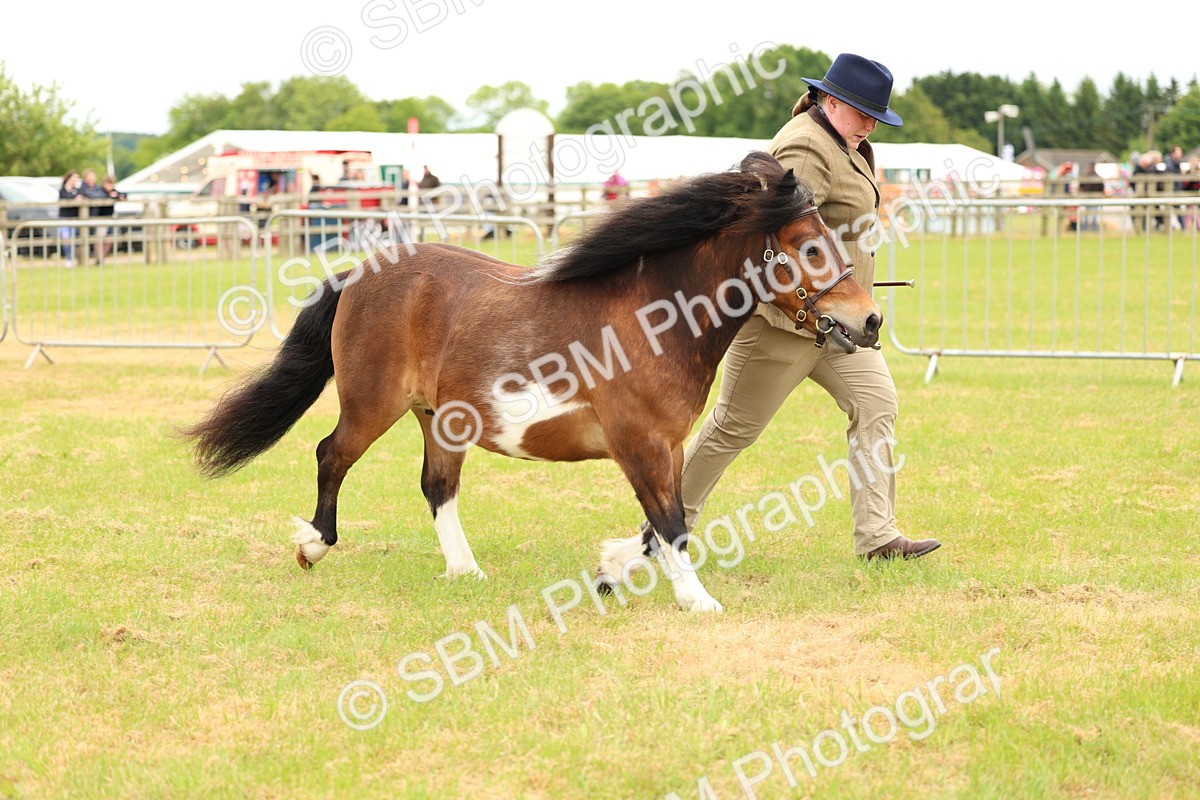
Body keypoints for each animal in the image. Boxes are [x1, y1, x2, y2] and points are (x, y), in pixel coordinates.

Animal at [182, 151, 882, 612]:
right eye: (810, 247)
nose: (869, 321)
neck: (654, 316)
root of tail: (359, 273)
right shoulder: (640, 443)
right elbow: (671, 520)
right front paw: (696, 600)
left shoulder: (667, 446)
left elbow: (667, 517)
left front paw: (611, 570)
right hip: (371, 404)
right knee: (332, 455)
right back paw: (314, 546)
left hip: (440, 419)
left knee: (437, 485)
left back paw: (465, 570)